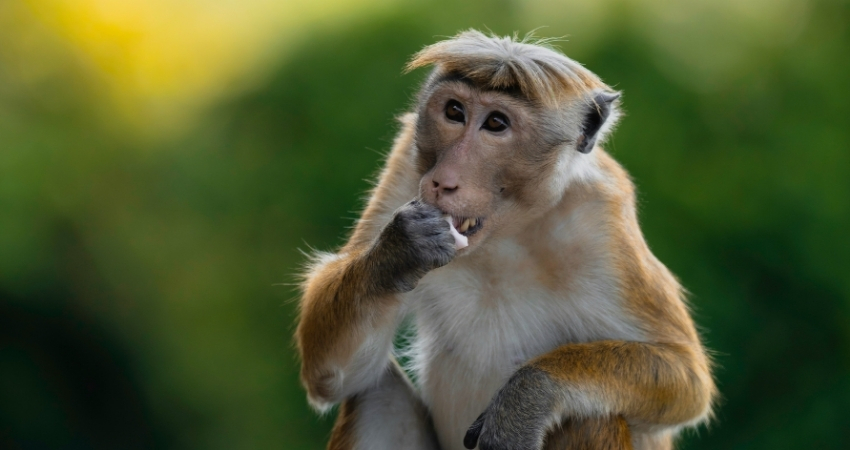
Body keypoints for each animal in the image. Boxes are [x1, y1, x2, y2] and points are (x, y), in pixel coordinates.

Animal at [295, 30, 716, 450]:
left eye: (496, 123)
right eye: (454, 112)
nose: (442, 180)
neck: (505, 235)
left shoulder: (603, 223)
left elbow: (686, 375)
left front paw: (528, 399)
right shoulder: (405, 166)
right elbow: (334, 376)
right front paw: (399, 252)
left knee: (592, 418)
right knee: (377, 392)